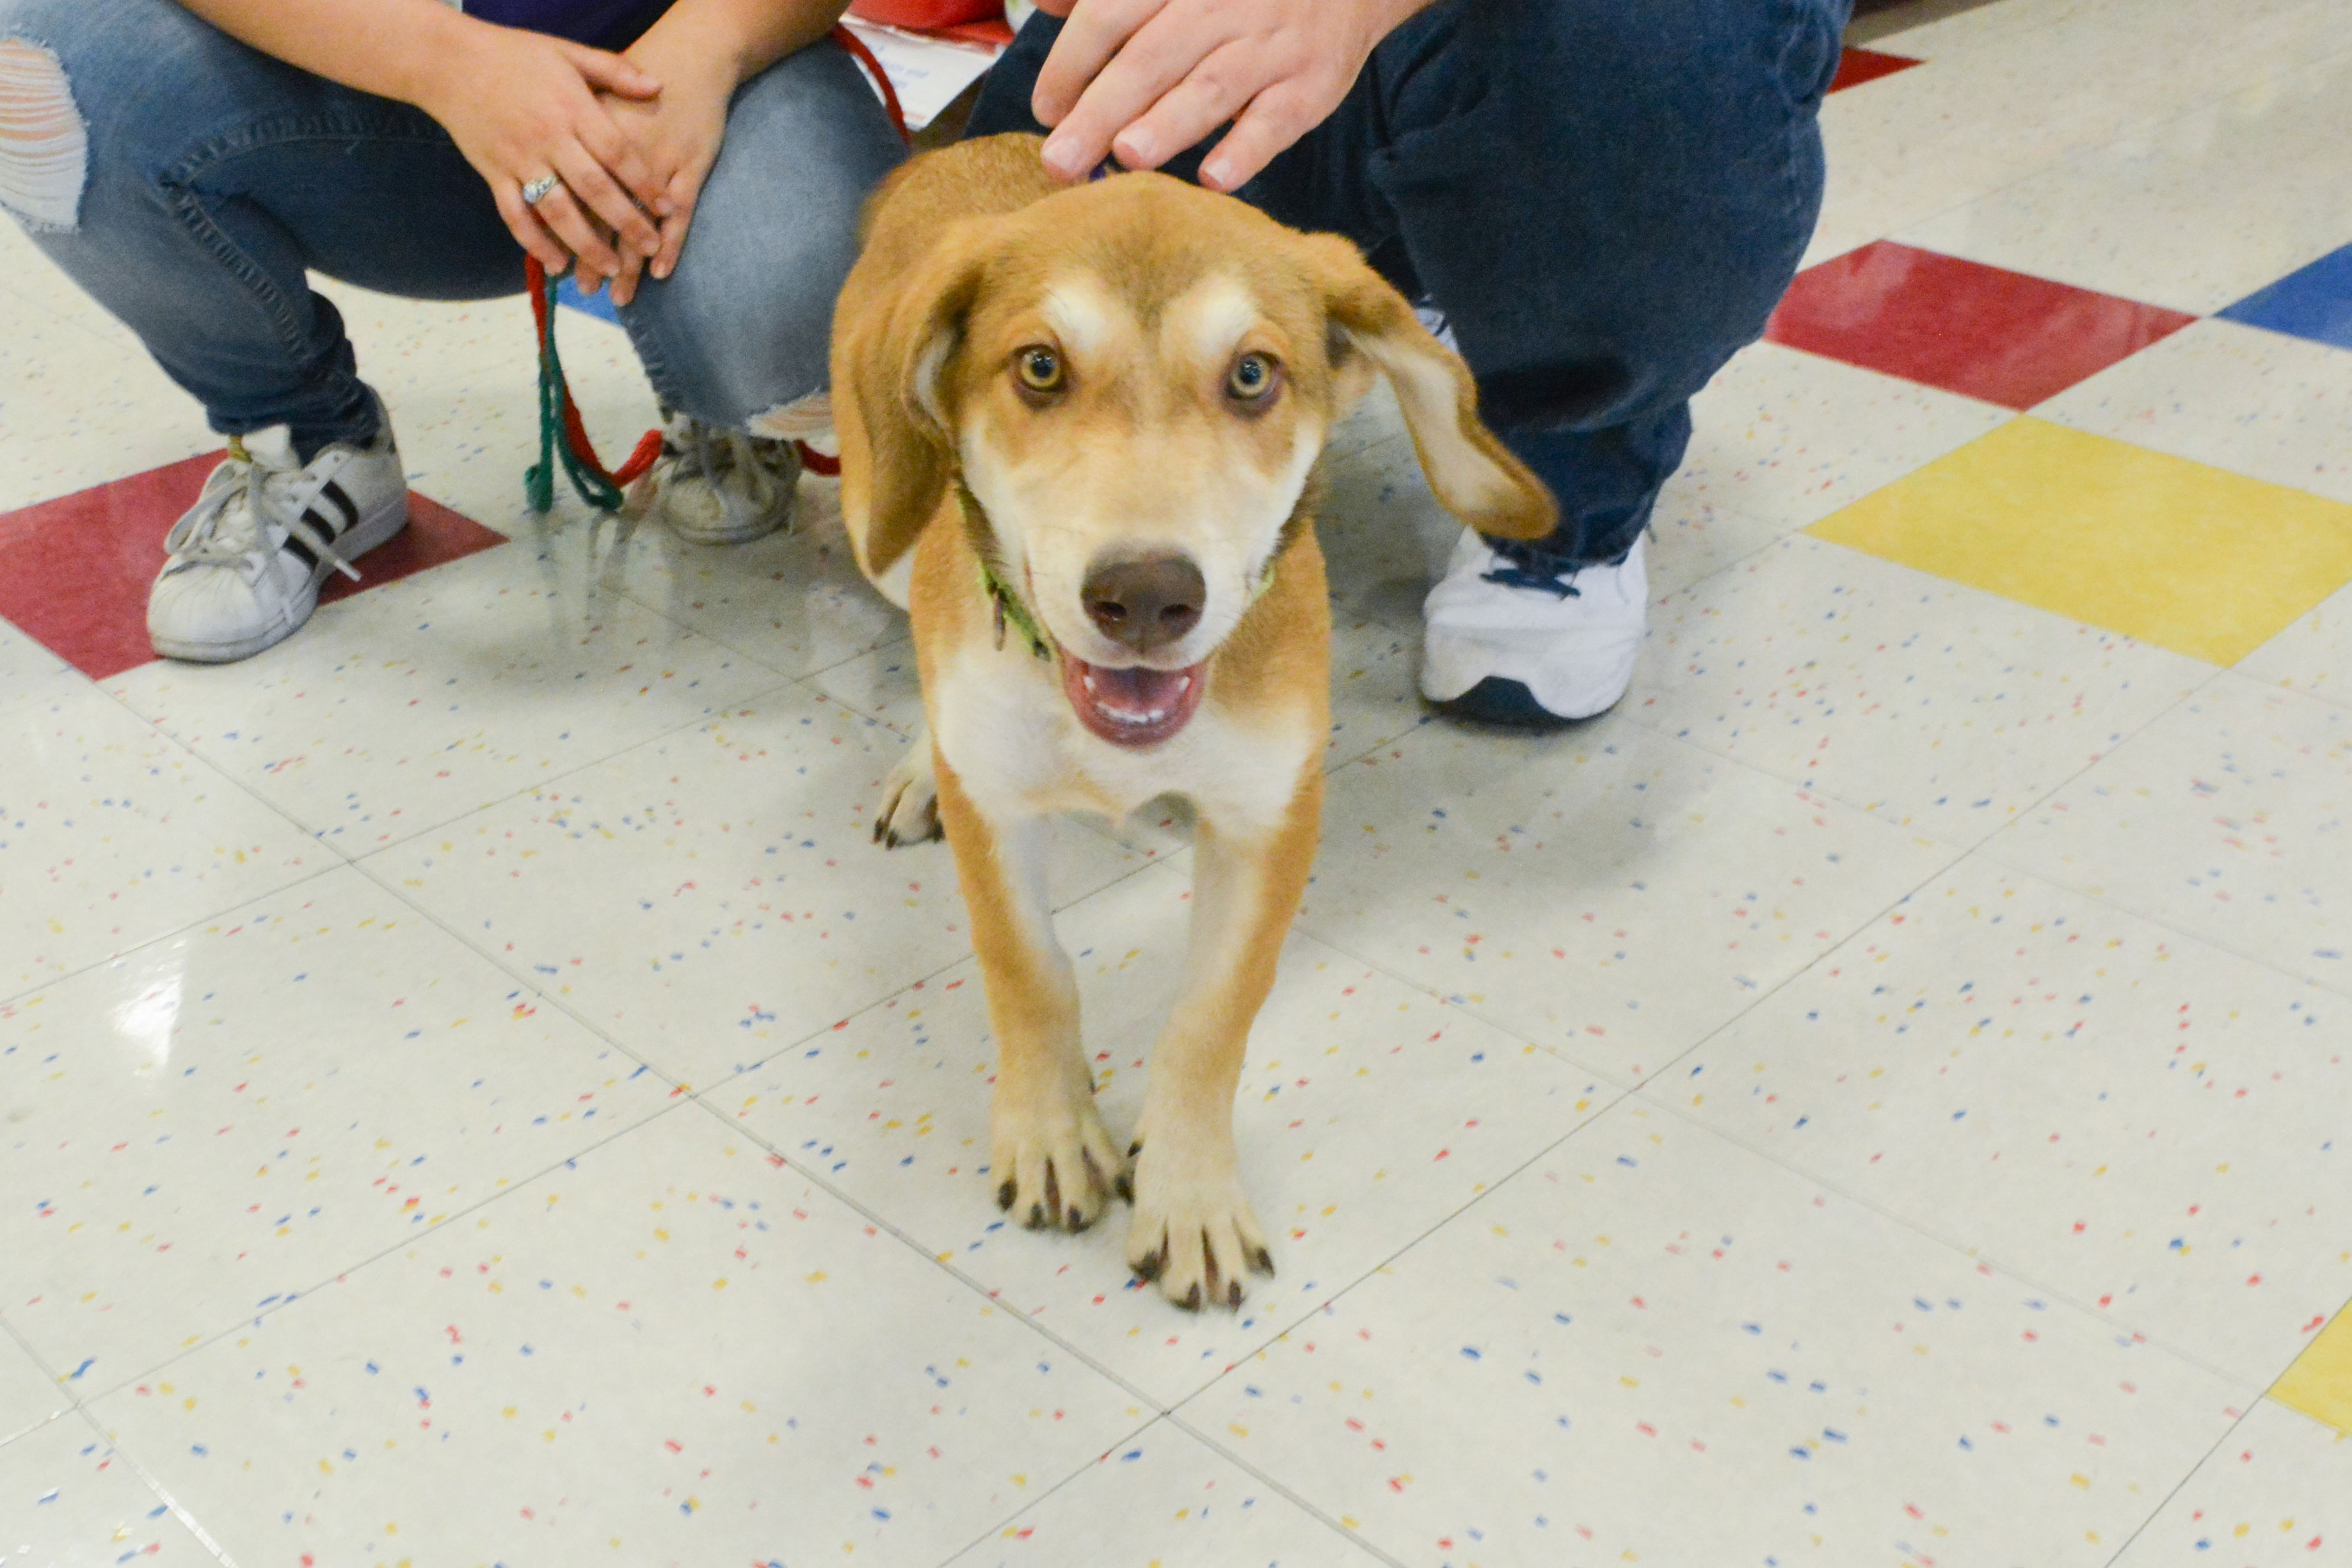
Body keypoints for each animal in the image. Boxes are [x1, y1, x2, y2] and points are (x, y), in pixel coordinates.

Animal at [833, 135, 1561, 1316]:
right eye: (1039, 368)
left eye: (1252, 375)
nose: (1143, 596)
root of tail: (973, 143)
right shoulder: (1000, 805)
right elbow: (1027, 969)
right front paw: (1051, 1133)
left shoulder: (1268, 818)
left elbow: (1210, 1021)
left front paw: (1188, 1198)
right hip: (879, 518)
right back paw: (916, 767)